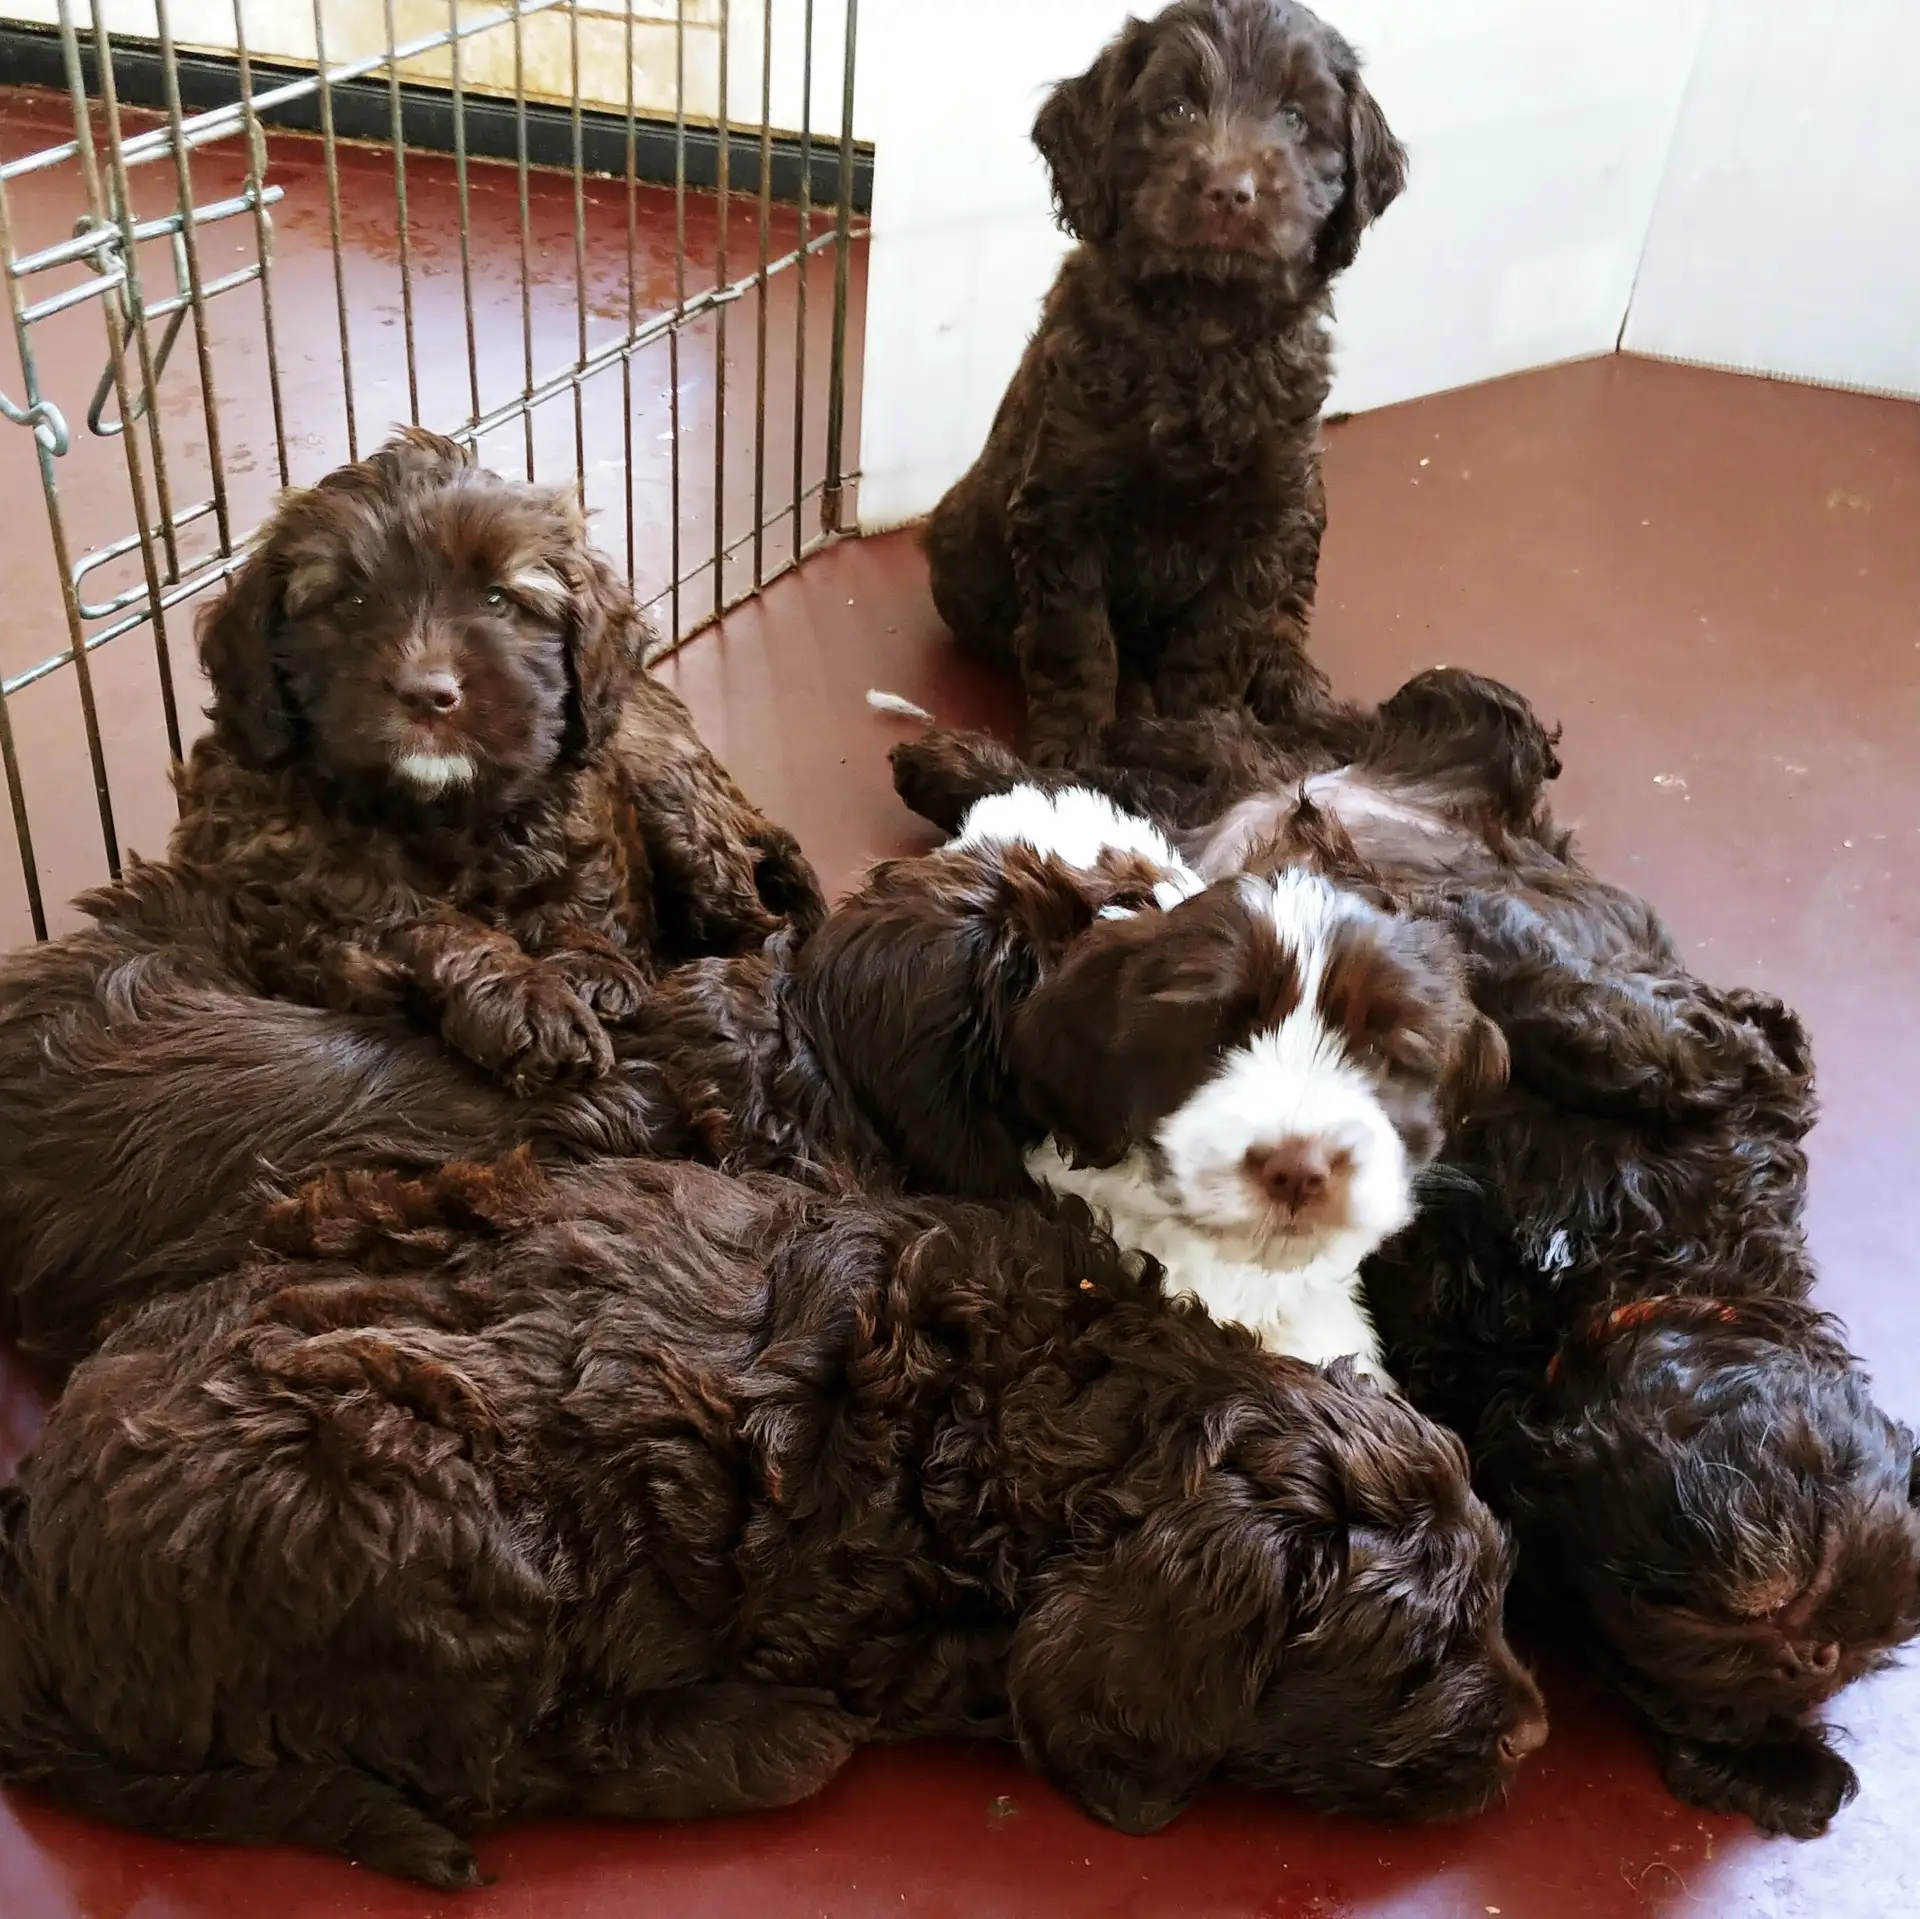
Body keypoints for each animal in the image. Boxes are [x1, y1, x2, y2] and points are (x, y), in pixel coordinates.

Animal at [0, 1144, 1543, 1882]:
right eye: (1413, 1658)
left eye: (1503, 1593)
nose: (1532, 1737)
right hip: (412, 1497)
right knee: (509, 1755)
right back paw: (757, 1736)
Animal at [921, 0, 1405, 764]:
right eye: (1175, 109)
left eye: (1297, 121)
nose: (1230, 193)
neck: (1203, 328)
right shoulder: (1065, 505)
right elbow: (1077, 643)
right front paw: (1075, 755)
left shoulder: (1265, 515)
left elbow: (1221, 639)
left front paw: (1201, 738)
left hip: (1309, 502)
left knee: (1285, 622)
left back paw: (1307, 699)